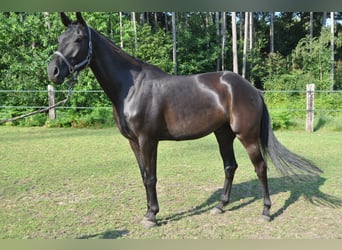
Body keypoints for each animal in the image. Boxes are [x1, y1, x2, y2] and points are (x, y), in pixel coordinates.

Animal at [46, 13, 322, 229]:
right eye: (60, 39)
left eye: (79, 39)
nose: (53, 72)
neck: (131, 87)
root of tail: (251, 89)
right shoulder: (134, 142)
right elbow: (144, 176)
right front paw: (149, 212)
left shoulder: (148, 140)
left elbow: (151, 177)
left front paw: (152, 216)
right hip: (223, 135)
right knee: (230, 166)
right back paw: (220, 206)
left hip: (247, 136)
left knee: (261, 168)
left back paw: (265, 212)